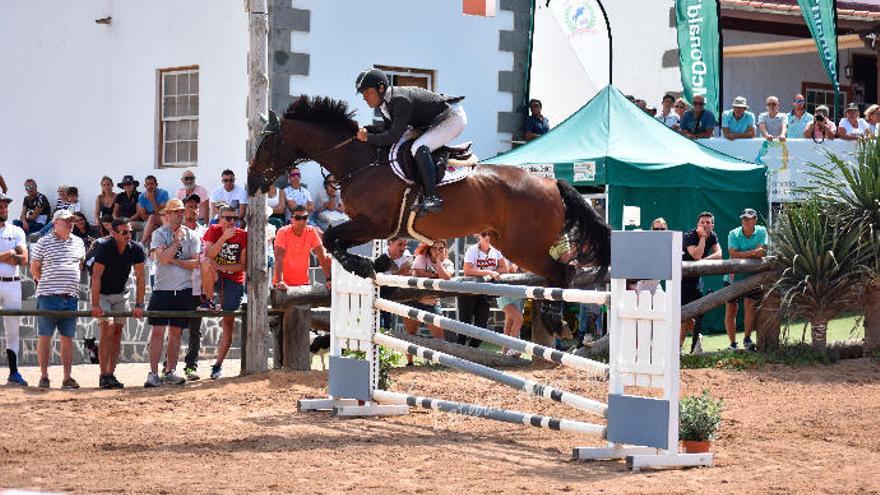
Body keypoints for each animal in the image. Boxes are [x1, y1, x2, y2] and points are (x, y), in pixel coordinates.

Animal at [244, 96, 608, 330]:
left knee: (562, 273)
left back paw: (554, 319)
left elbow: (333, 239)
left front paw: (365, 265)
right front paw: (378, 263)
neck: (359, 161)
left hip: (524, 245)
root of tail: (552, 182)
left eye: (265, 146)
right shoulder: (372, 227)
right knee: (557, 273)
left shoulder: (375, 223)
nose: (250, 183)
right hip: (510, 244)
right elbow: (333, 240)